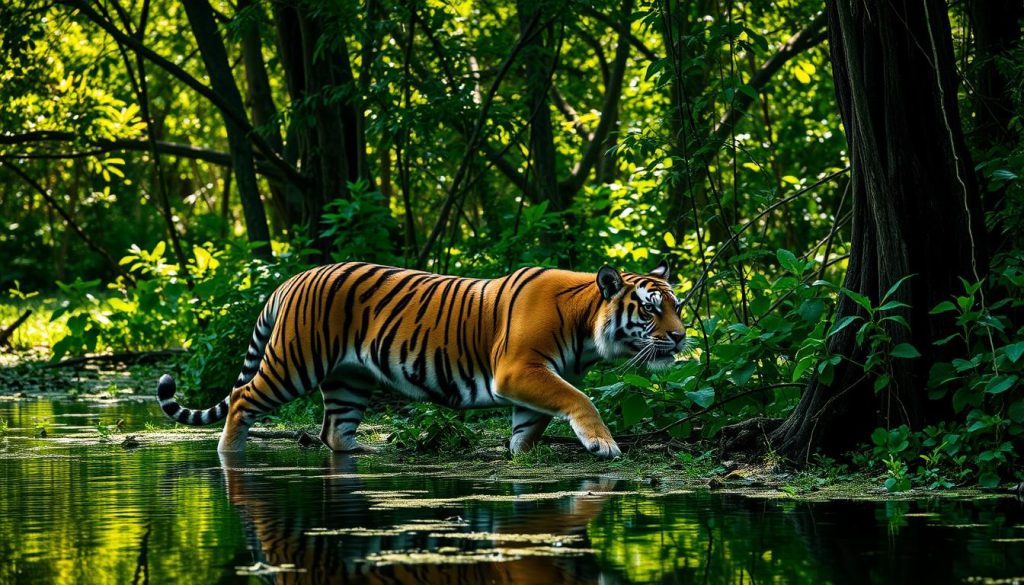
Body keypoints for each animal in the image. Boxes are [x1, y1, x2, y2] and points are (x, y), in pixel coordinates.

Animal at [157, 261, 688, 458]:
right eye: (650, 309)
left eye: (677, 306)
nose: (681, 337)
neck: (585, 328)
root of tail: (292, 279)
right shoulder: (518, 369)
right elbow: (579, 399)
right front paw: (603, 444)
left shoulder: (531, 382)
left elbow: (531, 424)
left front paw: (519, 453)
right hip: (294, 363)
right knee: (241, 396)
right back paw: (230, 452)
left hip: (348, 380)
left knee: (334, 431)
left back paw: (363, 453)